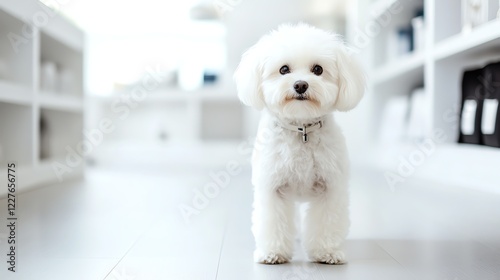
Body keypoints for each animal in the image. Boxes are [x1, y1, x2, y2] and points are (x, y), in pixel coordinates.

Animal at [232, 23, 366, 264]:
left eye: (318, 69)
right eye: (284, 69)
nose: (301, 84)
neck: (301, 129)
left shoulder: (330, 188)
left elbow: (327, 222)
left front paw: (327, 252)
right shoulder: (272, 187)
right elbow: (272, 222)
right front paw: (273, 253)